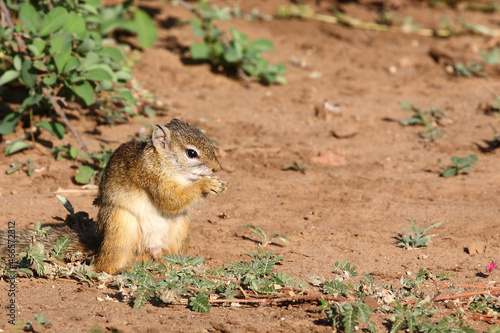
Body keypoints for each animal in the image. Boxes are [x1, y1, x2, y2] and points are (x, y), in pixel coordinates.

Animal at [0, 118, 228, 272]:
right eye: (191, 153)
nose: (217, 168)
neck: (164, 163)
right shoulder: (152, 177)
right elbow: (171, 200)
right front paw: (207, 185)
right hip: (121, 227)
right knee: (105, 265)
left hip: (180, 229)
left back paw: (176, 266)